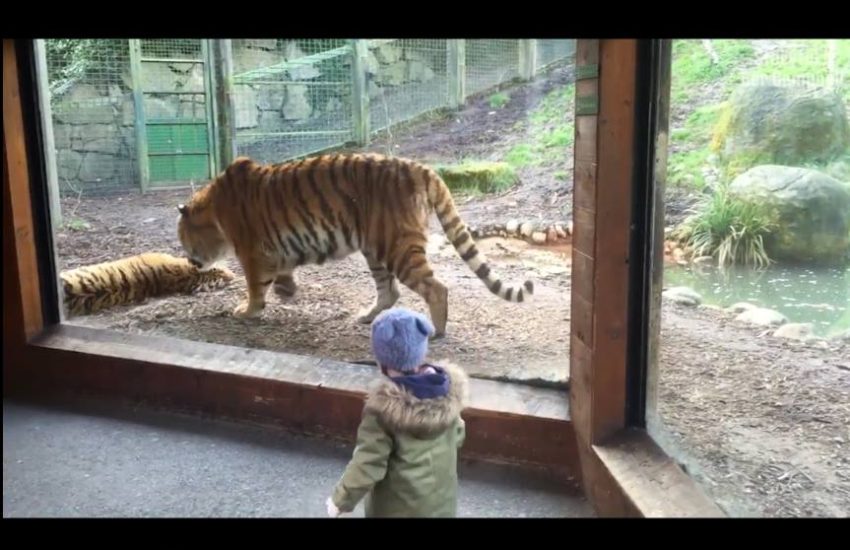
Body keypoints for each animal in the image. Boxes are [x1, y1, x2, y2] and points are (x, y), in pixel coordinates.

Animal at [176, 153, 533, 337]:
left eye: (182, 239)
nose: (190, 262)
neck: (212, 209)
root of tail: (421, 168)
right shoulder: (277, 249)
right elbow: (282, 272)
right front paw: (286, 290)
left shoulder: (252, 252)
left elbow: (254, 286)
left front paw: (247, 310)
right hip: (376, 249)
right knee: (389, 291)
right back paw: (366, 316)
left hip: (397, 247)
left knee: (436, 287)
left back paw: (437, 331)